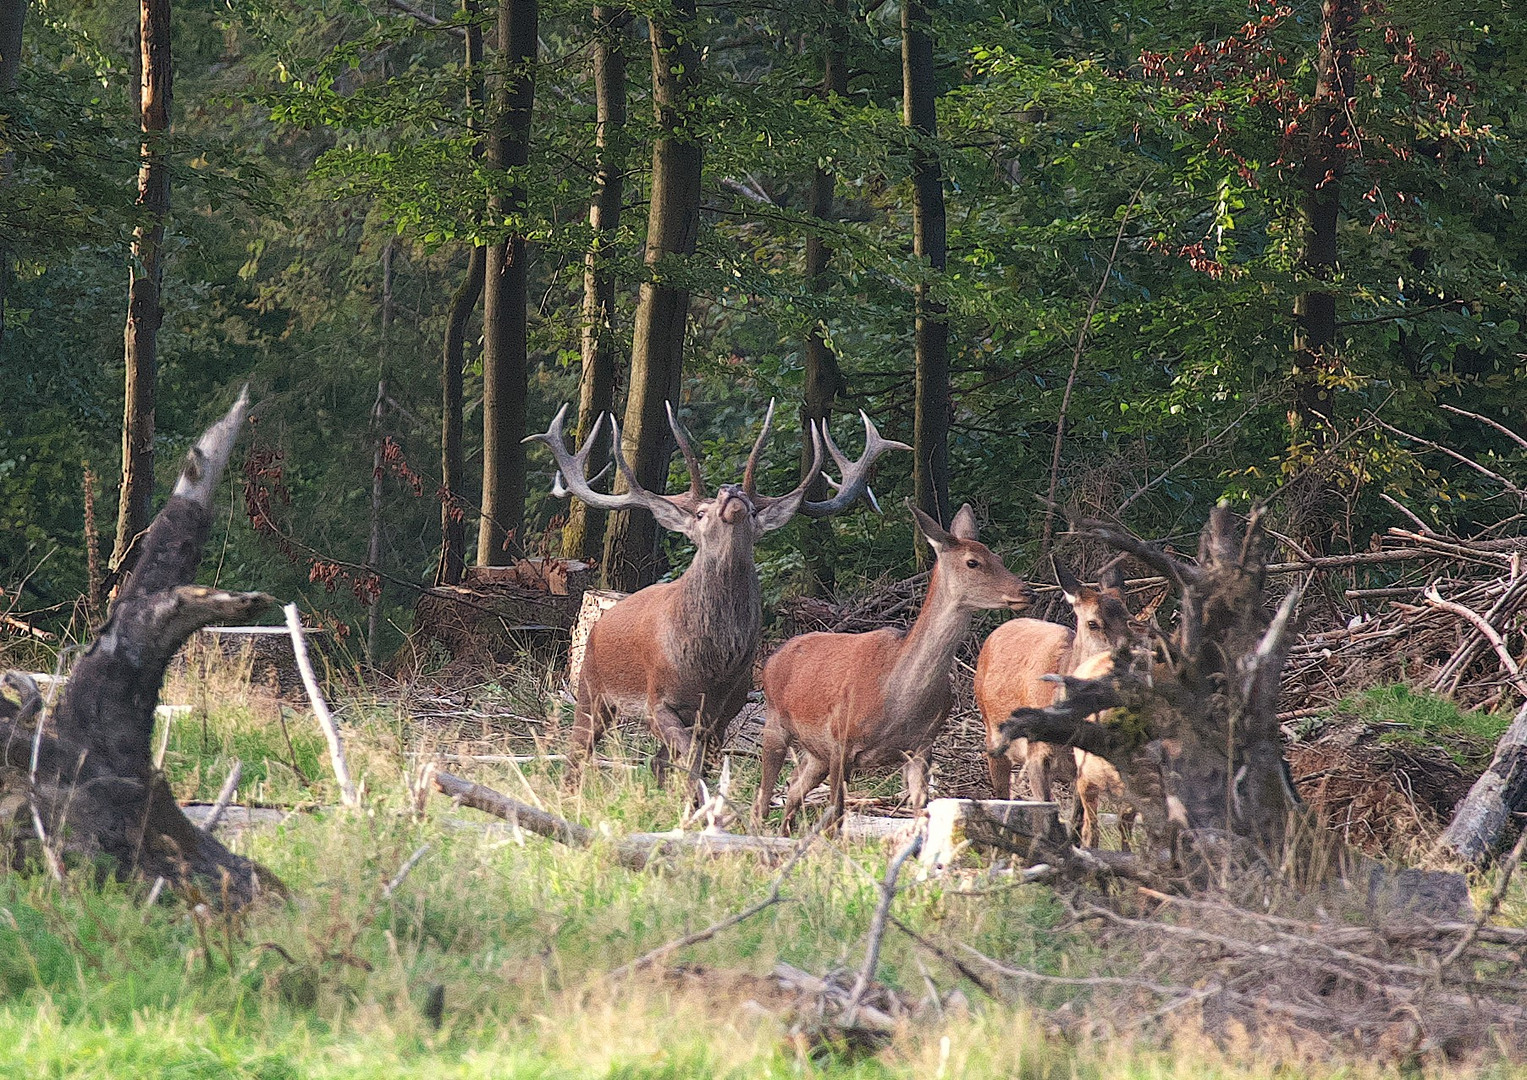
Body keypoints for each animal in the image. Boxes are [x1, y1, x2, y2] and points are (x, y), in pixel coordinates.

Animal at [525, 400, 903, 788]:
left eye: (752, 508)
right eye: (700, 512)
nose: (732, 490)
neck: (711, 669)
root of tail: (599, 622)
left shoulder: (726, 710)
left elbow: (700, 760)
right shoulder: (657, 700)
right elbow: (690, 758)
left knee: (656, 762)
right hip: (590, 686)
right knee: (577, 754)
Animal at [748, 507, 1032, 837]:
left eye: (998, 557)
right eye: (973, 561)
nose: (1026, 591)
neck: (895, 698)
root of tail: (772, 658)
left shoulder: (921, 747)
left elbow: (920, 812)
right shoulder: (842, 740)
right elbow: (836, 814)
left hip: (816, 752)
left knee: (793, 786)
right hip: (776, 723)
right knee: (763, 797)